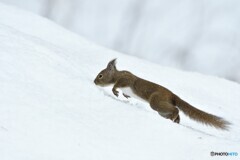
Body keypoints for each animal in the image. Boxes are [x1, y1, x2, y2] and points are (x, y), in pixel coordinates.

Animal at [94, 58, 231, 130]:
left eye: (100, 75)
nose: (94, 82)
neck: (118, 75)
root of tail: (173, 96)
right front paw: (125, 95)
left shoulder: (125, 80)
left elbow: (116, 86)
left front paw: (115, 91)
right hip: (161, 108)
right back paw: (176, 121)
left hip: (156, 101)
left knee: (176, 109)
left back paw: (174, 118)